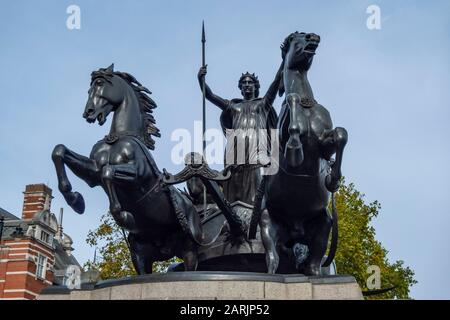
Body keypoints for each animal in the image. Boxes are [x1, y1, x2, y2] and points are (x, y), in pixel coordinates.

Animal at [51, 63, 211, 274]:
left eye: (100, 83)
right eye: (88, 88)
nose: (88, 112)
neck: (118, 138)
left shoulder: (137, 176)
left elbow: (108, 172)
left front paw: (124, 216)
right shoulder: (92, 173)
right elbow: (59, 151)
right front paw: (75, 200)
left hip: (189, 249)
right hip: (140, 254)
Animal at [255, 33, 346, 276]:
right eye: (295, 37)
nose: (314, 37)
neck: (307, 107)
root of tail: (295, 233)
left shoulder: (324, 144)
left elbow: (340, 135)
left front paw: (332, 179)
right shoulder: (283, 141)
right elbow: (293, 101)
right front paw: (295, 147)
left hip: (324, 224)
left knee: (313, 266)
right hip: (267, 223)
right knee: (272, 259)